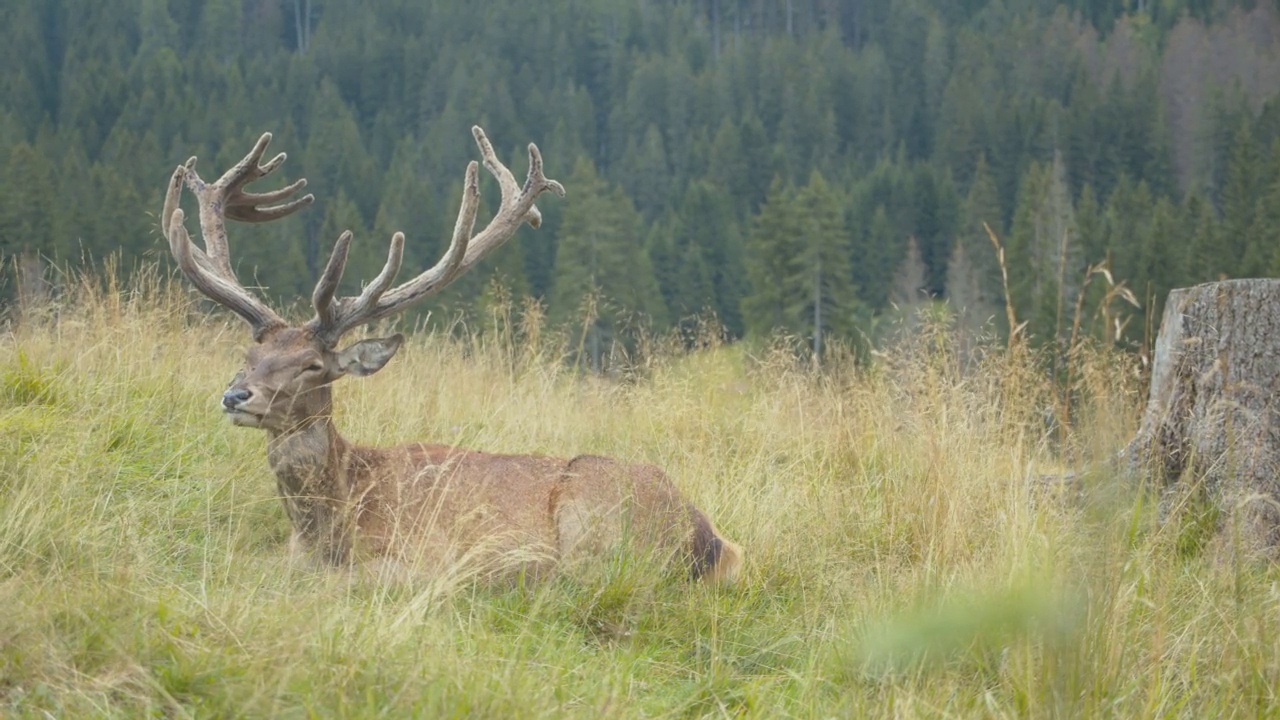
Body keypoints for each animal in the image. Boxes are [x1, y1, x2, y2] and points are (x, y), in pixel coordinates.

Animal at [160, 128, 742, 584]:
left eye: (313, 367)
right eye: (249, 351)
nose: (236, 395)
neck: (330, 527)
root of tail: (712, 542)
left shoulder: (418, 556)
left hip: (595, 514)